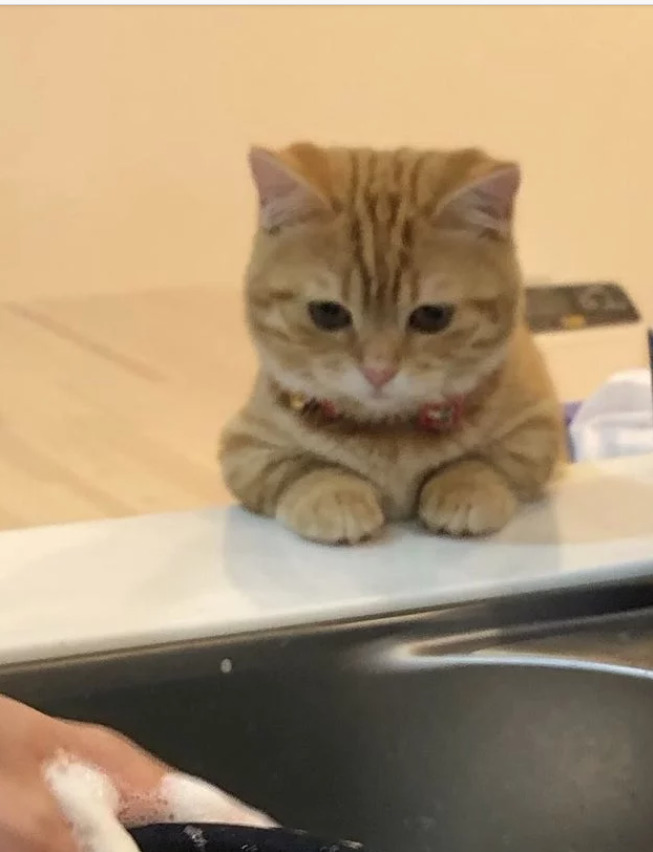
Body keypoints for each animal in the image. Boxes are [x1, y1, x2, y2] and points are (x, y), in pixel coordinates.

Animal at [219, 143, 565, 545]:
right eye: (328, 313)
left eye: (432, 316)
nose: (378, 371)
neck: (389, 433)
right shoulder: (244, 446)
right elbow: (304, 466)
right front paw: (333, 495)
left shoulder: (539, 428)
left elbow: (486, 460)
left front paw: (466, 488)